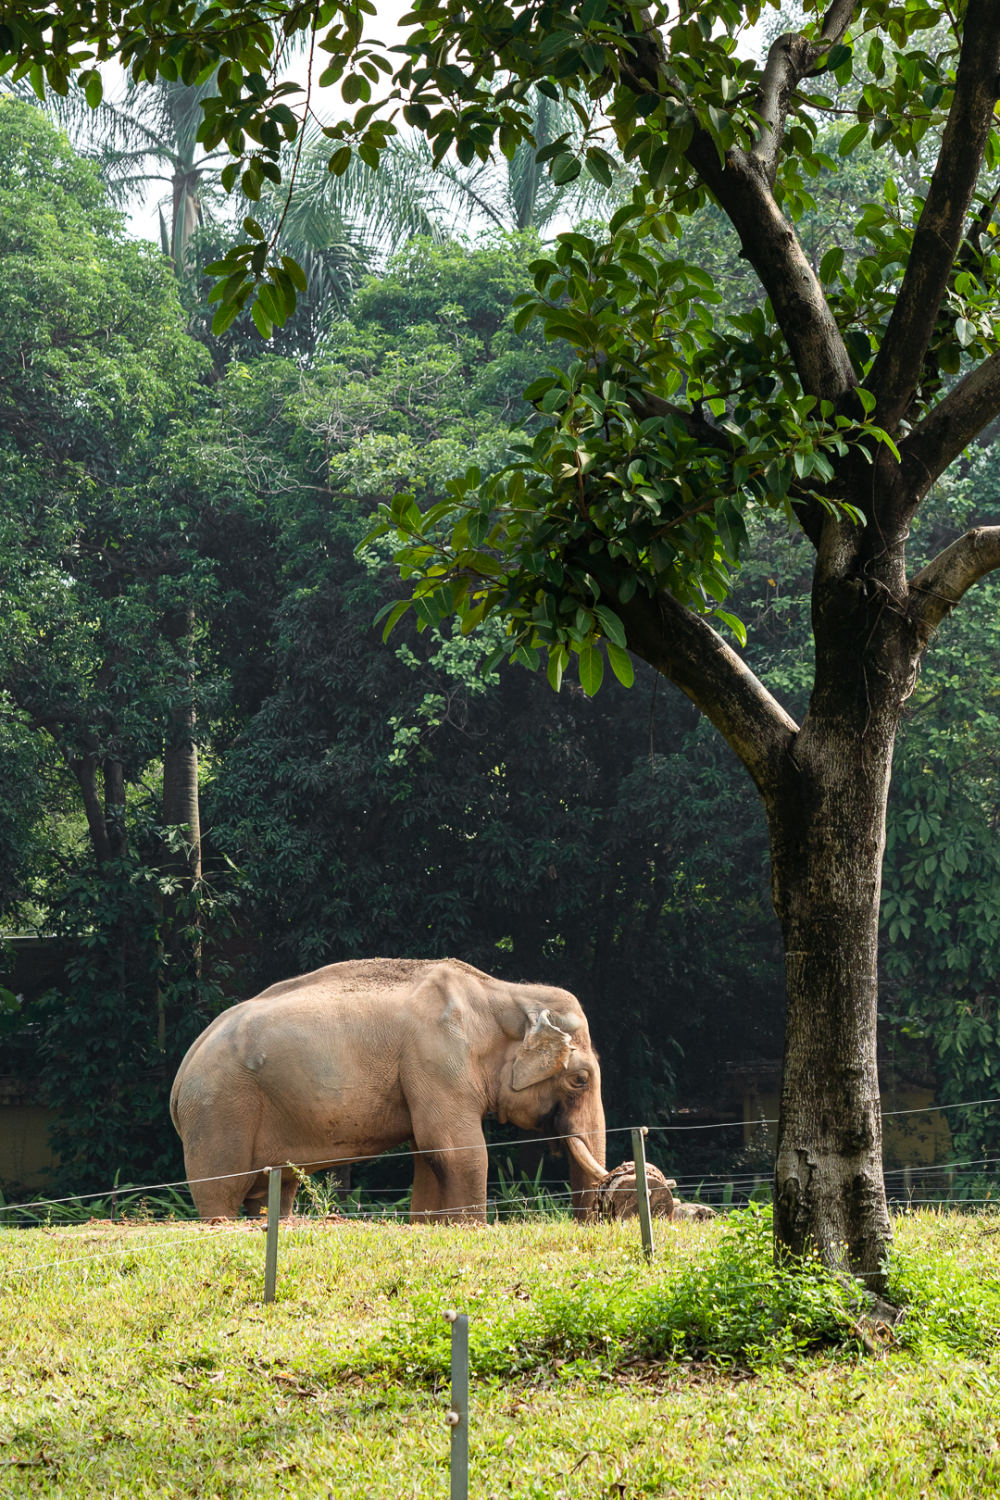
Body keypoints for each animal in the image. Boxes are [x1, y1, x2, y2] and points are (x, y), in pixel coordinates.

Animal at [170, 954, 605, 1224]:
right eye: (580, 1080)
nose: (588, 1223)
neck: (504, 992)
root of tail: (179, 1078)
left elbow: (429, 1154)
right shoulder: (437, 1057)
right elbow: (458, 1151)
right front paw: (472, 1227)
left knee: (273, 1191)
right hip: (219, 1111)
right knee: (220, 1191)